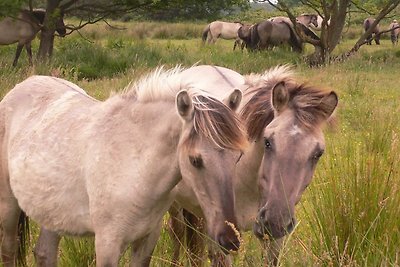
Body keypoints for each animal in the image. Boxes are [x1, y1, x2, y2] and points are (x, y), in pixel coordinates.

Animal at [166, 65, 338, 267]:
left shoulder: (273, 240)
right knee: (177, 235)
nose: (275, 220)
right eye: (268, 142)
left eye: (318, 153)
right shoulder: (222, 236)